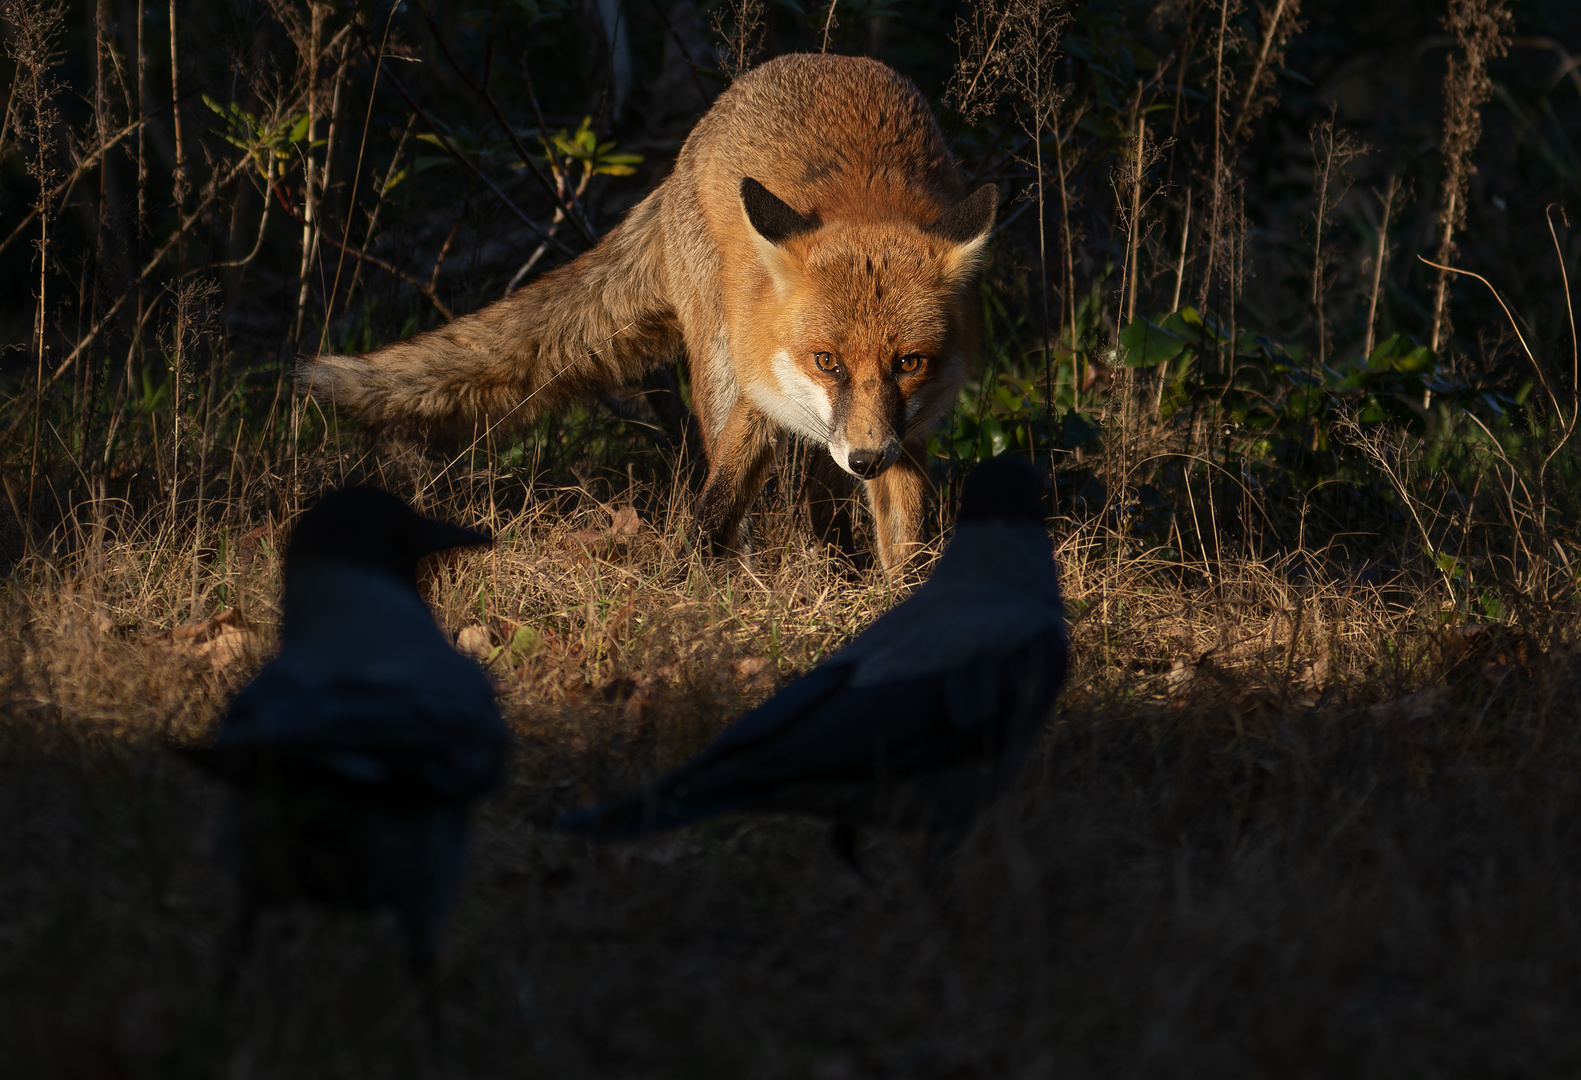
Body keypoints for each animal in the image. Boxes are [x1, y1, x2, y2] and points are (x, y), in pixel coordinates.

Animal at [298, 56, 986, 575]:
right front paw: (690, 590)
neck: (866, 205)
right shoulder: (759, 396)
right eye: (827, 361)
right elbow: (715, 506)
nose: (867, 460)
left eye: (909, 363)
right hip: (718, 366)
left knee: (821, 491)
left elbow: (907, 536)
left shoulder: (907, 430)